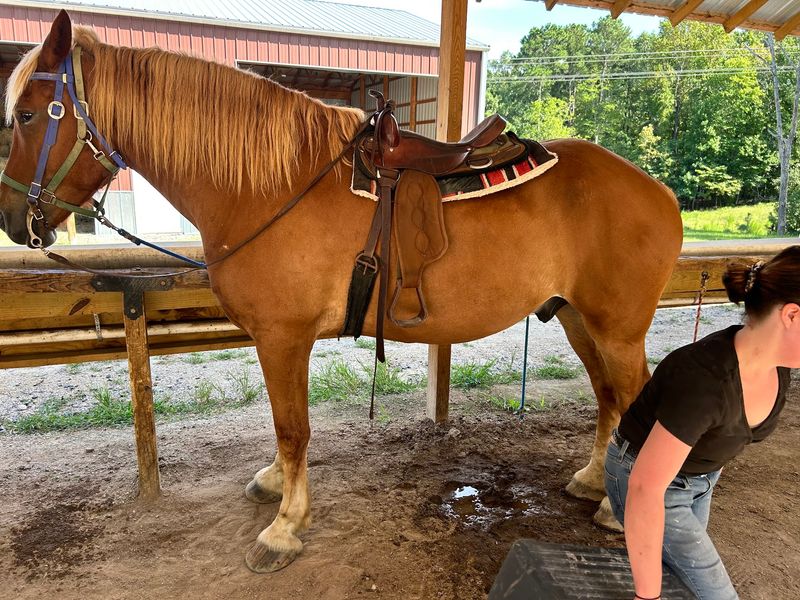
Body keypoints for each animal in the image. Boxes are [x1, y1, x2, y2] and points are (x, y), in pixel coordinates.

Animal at [0, 11, 683, 573]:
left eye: (27, 115)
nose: (14, 220)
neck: (271, 186)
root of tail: (659, 191)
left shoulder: (283, 337)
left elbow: (292, 427)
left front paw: (285, 527)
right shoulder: (276, 341)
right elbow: (284, 427)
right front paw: (277, 487)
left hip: (616, 328)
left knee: (632, 398)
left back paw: (618, 511)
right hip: (576, 319)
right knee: (609, 400)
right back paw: (593, 481)